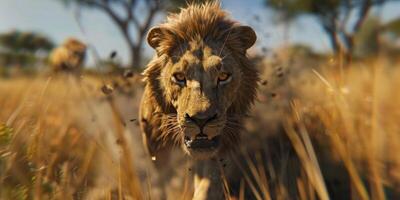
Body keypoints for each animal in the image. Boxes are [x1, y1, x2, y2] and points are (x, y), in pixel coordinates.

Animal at [141, 1, 258, 198]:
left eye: (223, 76)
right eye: (179, 77)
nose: (201, 120)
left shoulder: (218, 149)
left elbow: (208, 186)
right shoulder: (156, 151)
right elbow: (162, 185)